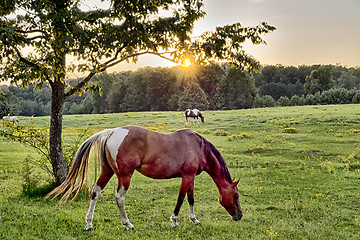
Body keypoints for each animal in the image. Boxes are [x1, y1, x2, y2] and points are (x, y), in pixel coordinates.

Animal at [45, 124, 242, 230]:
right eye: (236, 195)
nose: (239, 215)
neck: (198, 147)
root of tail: (112, 132)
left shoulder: (190, 177)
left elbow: (190, 199)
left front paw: (194, 219)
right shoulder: (187, 177)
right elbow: (180, 198)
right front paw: (174, 220)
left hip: (107, 171)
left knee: (95, 192)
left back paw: (89, 223)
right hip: (124, 176)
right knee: (119, 198)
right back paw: (127, 224)